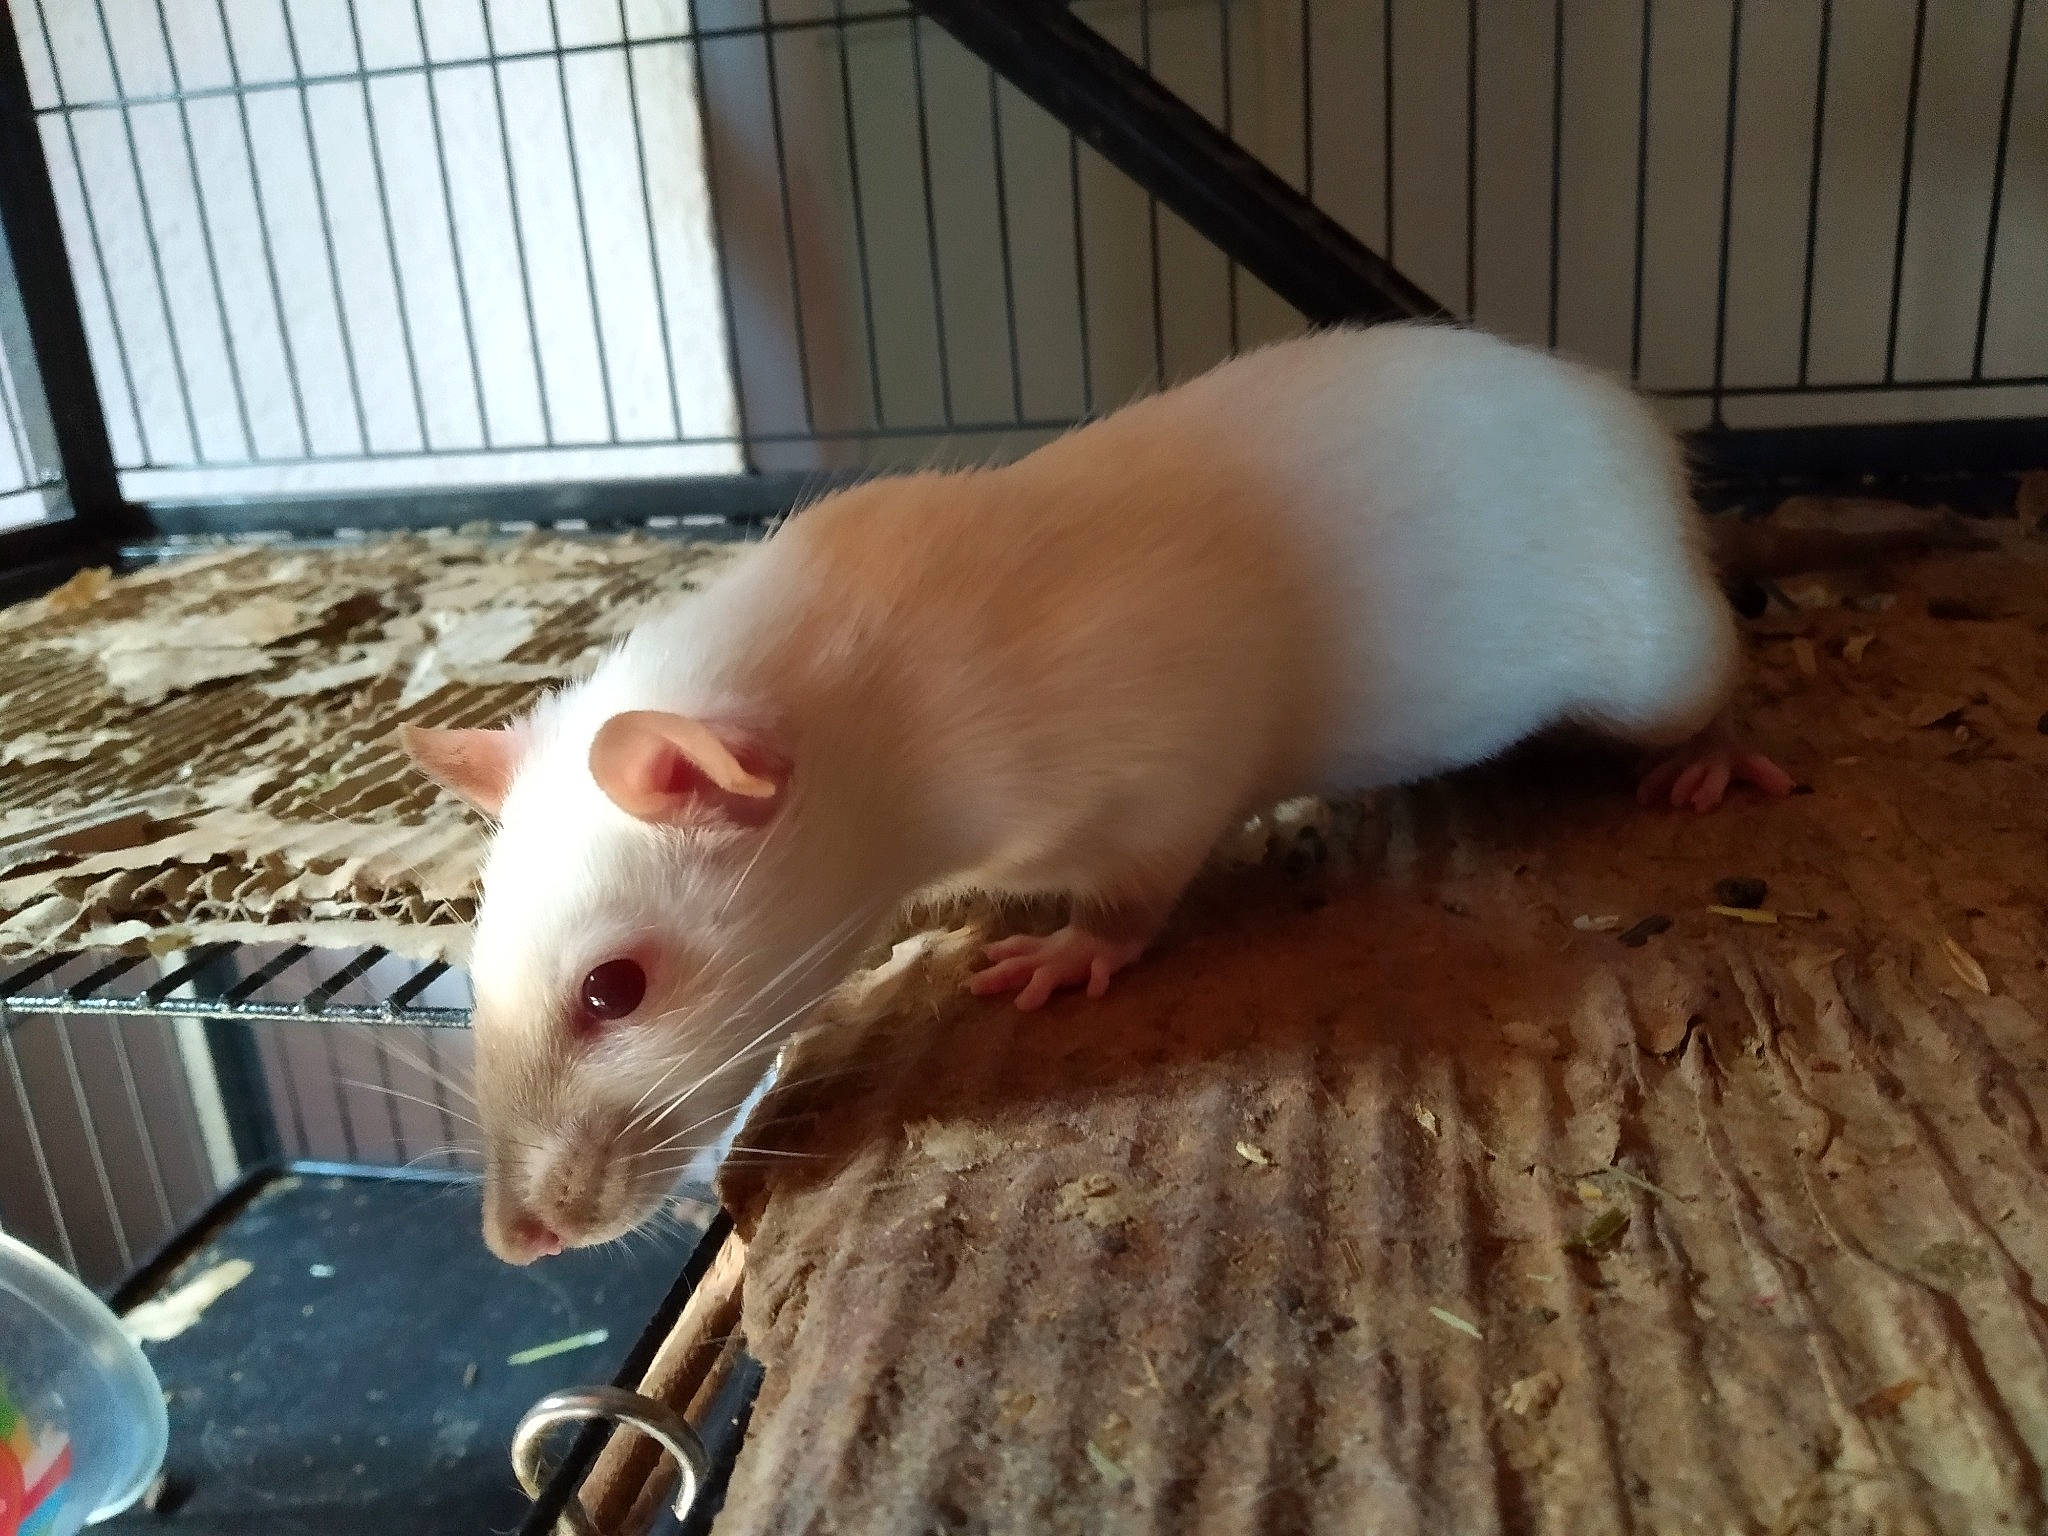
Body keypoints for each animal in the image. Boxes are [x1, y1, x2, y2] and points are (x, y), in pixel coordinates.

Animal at [403, 321, 1798, 1263]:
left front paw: (1076, 947)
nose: (514, 1237)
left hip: (1649, 640)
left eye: (612, 990)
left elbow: (1150, 856)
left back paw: (1709, 752)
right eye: (478, 967)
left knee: (1700, 675)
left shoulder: (1139, 752)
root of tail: (1641, 430)